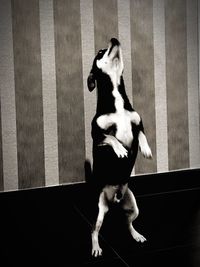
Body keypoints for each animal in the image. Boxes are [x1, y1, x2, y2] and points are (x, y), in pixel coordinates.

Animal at [87, 37, 152, 258]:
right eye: (100, 52)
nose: (114, 39)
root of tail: (113, 203)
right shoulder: (97, 136)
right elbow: (111, 138)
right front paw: (121, 150)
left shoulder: (138, 124)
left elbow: (141, 135)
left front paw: (145, 149)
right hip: (98, 210)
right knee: (94, 230)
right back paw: (96, 247)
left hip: (133, 206)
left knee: (127, 223)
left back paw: (136, 235)